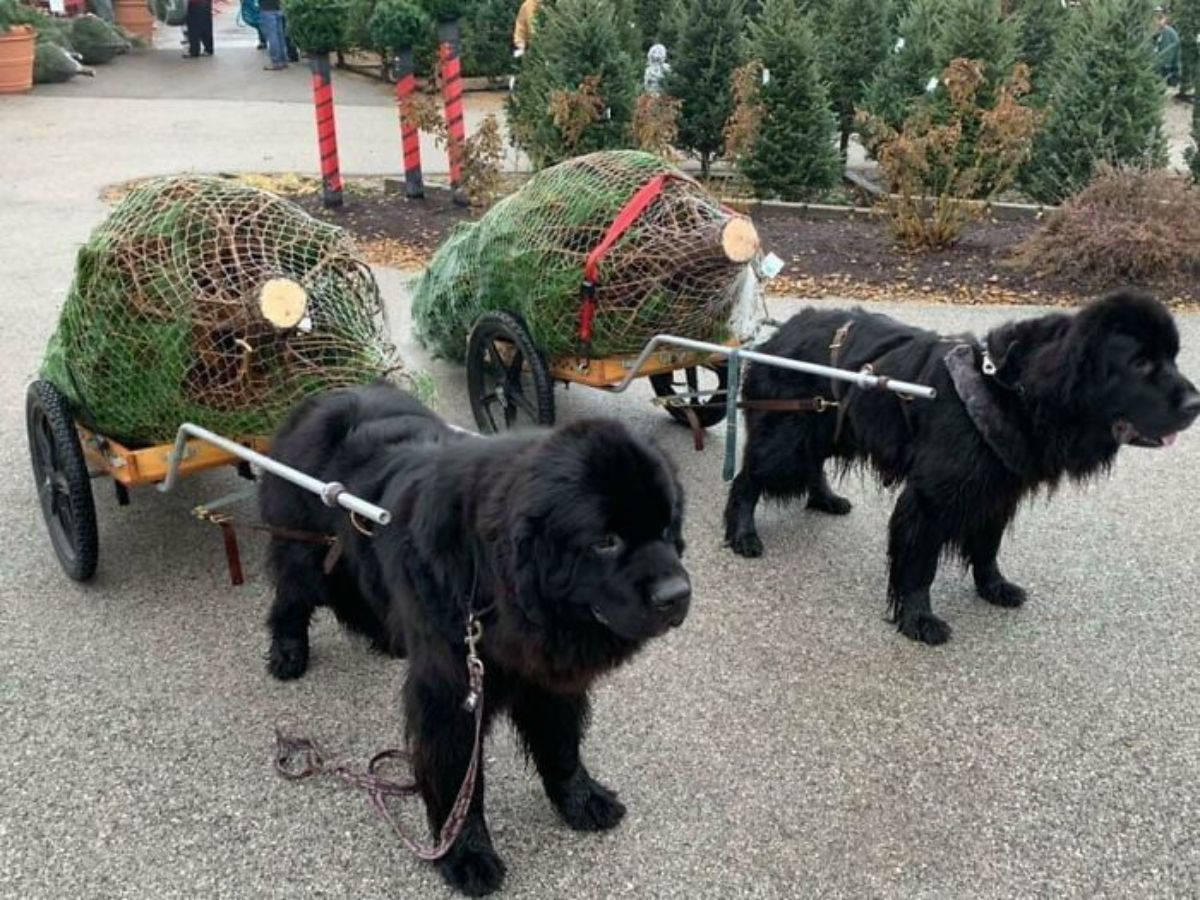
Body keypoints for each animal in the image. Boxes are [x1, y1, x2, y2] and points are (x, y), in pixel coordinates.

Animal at [260, 384, 696, 897]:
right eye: (605, 541)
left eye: (668, 528)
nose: (677, 595)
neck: (492, 591)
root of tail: (321, 397)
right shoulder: (452, 694)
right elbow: (459, 782)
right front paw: (465, 855)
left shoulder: (547, 675)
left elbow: (562, 743)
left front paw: (581, 799)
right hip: (303, 544)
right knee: (293, 593)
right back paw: (288, 652)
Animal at [720, 294, 1200, 648]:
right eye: (1140, 363)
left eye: (1174, 358)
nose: (1196, 404)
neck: (1011, 390)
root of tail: (777, 333)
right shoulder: (930, 497)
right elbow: (919, 562)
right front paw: (919, 619)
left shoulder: (997, 491)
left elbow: (987, 547)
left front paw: (995, 587)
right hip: (788, 436)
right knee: (747, 479)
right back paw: (743, 535)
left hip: (827, 424)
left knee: (812, 463)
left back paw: (825, 499)